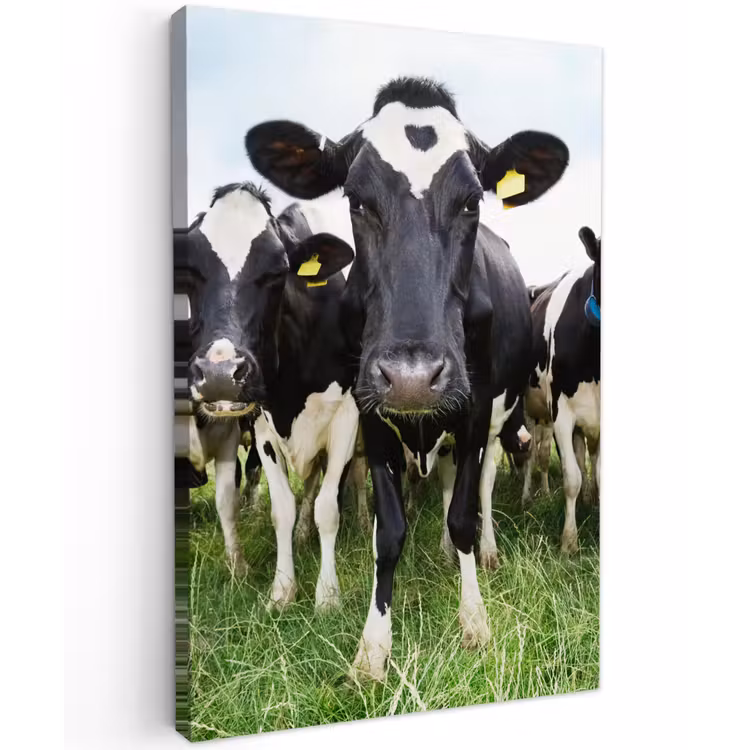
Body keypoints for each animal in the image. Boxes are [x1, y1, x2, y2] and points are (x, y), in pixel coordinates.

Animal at [177, 181, 360, 611]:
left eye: (277, 272)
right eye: (190, 271)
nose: (220, 375)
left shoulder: (347, 417)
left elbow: (328, 507)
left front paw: (327, 596)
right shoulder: (262, 424)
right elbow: (283, 509)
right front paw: (282, 590)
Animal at [245, 75, 569, 680]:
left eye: (472, 201)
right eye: (356, 199)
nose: (414, 377)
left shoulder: (474, 410)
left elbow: (464, 514)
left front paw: (474, 620)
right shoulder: (370, 414)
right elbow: (388, 531)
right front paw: (373, 647)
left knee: (479, 489)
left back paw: (480, 553)